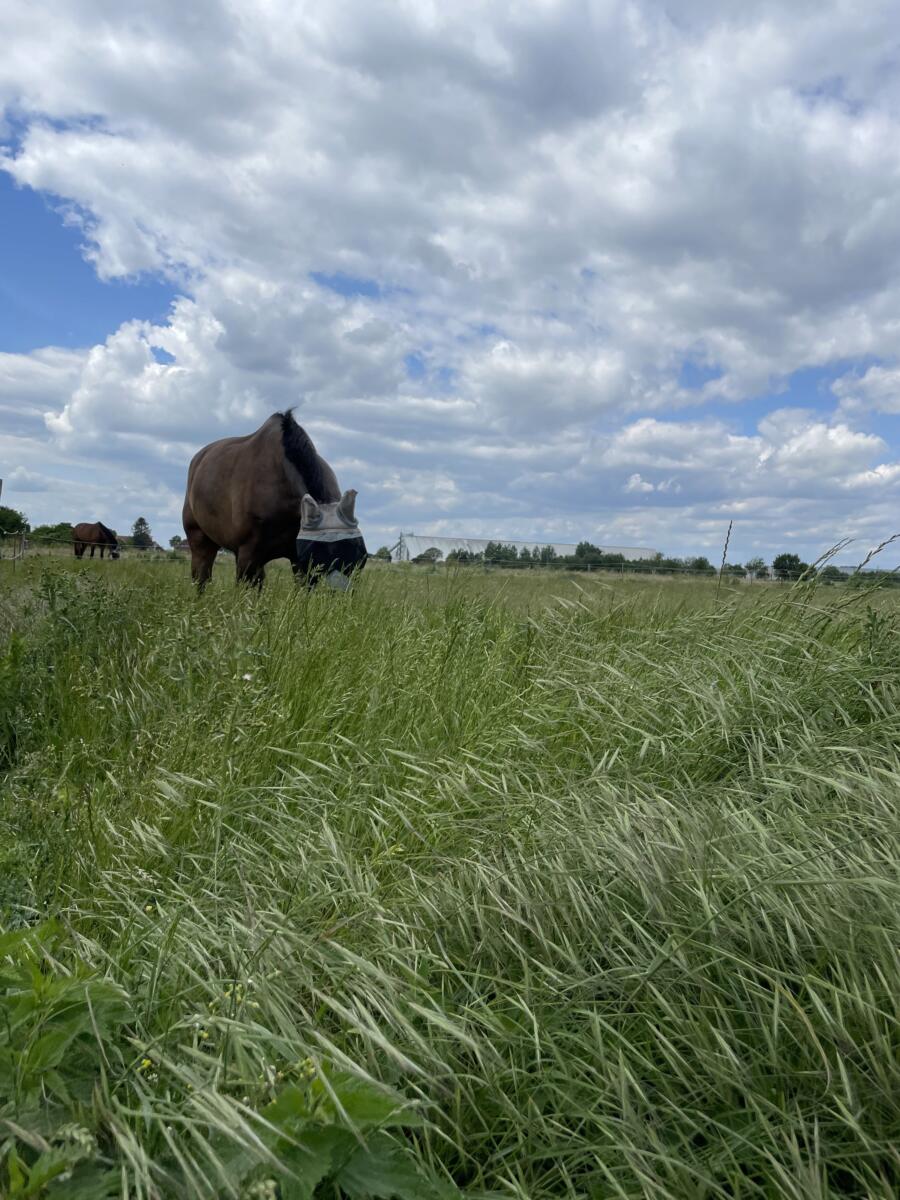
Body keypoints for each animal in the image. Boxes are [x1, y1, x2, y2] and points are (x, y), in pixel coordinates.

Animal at [182, 410, 367, 590]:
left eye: (361, 557)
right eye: (314, 557)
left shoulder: (294, 557)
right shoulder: (249, 556)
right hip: (200, 541)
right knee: (201, 579)